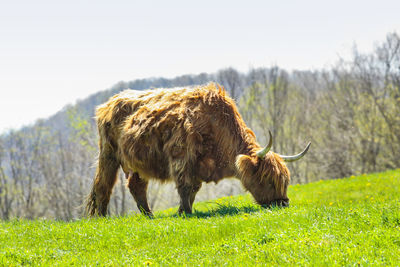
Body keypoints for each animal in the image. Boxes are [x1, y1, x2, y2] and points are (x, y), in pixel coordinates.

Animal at [83, 84, 310, 218]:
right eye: (268, 179)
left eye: (284, 180)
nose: (282, 203)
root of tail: (110, 102)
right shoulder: (182, 157)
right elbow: (186, 187)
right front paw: (184, 213)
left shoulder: (198, 167)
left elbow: (194, 189)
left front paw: (186, 210)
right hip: (108, 154)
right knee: (103, 184)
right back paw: (101, 217)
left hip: (137, 162)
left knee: (136, 185)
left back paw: (149, 216)